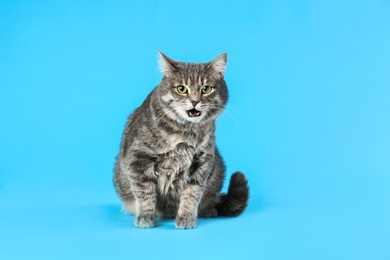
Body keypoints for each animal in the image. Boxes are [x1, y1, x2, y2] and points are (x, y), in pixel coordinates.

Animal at [112, 51, 248, 229]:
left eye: (206, 89)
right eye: (181, 89)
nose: (195, 101)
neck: (186, 133)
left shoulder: (202, 161)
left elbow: (192, 193)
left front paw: (186, 217)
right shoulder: (139, 158)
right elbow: (145, 192)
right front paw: (146, 217)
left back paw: (208, 209)